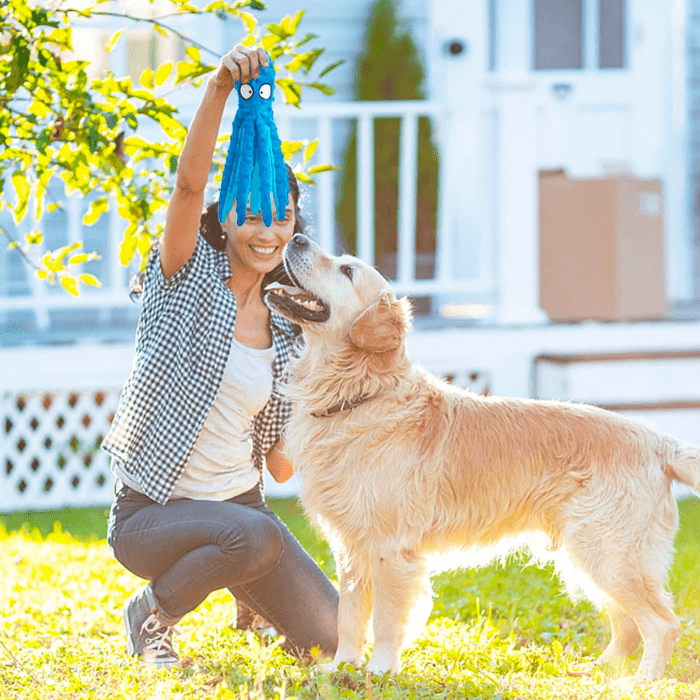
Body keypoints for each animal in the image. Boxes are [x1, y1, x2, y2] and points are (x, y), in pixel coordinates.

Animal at [266, 234, 700, 680]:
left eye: (348, 270)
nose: (296, 237)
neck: (359, 393)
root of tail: (659, 441)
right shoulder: (351, 549)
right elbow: (348, 616)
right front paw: (342, 667)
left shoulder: (390, 549)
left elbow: (385, 621)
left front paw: (380, 672)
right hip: (588, 556)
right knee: (627, 626)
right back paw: (597, 674)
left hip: (609, 555)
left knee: (662, 624)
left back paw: (641, 681)